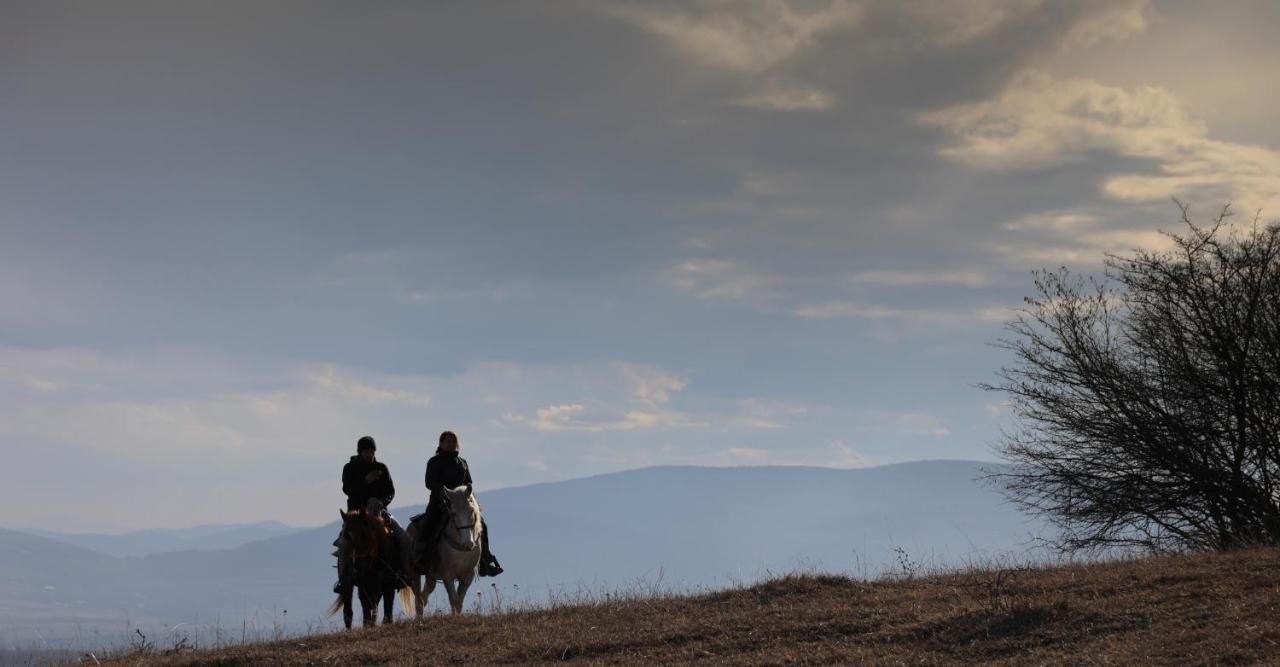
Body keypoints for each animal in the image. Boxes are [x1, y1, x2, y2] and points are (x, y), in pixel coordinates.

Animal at [401, 483, 481, 614]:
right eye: (453, 513)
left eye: (471, 510)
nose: (468, 543)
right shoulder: (447, 575)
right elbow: (454, 600)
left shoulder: (468, 576)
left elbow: (459, 602)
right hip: (414, 573)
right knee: (418, 600)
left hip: (431, 577)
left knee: (423, 597)